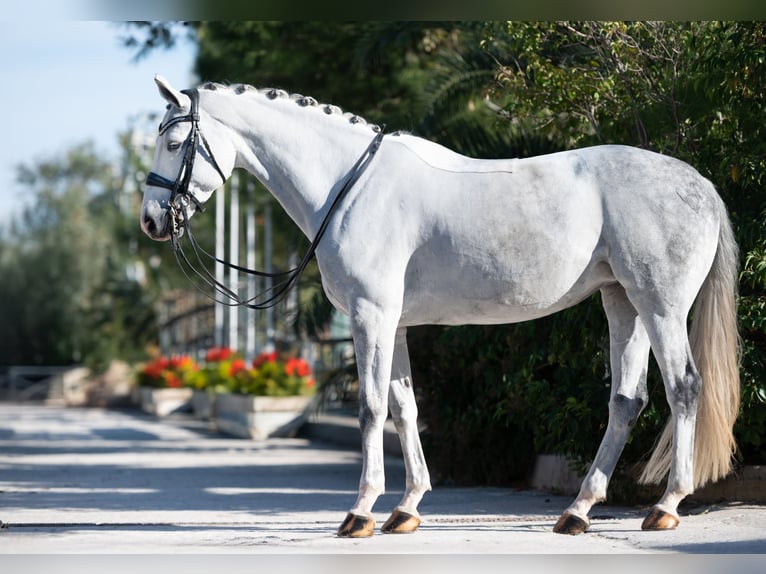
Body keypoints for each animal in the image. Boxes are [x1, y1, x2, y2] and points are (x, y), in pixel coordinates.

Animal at [140, 75, 740, 538]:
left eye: (174, 142)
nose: (151, 221)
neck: (348, 186)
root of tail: (700, 184)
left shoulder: (370, 315)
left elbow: (371, 408)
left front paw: (360, 512)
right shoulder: (394, 324)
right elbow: (405, 408)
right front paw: (405, 510)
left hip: (660, 306)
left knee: (684, 387)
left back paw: (664, 507)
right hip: (622, 303)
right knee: (626, 400)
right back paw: (577, 512)